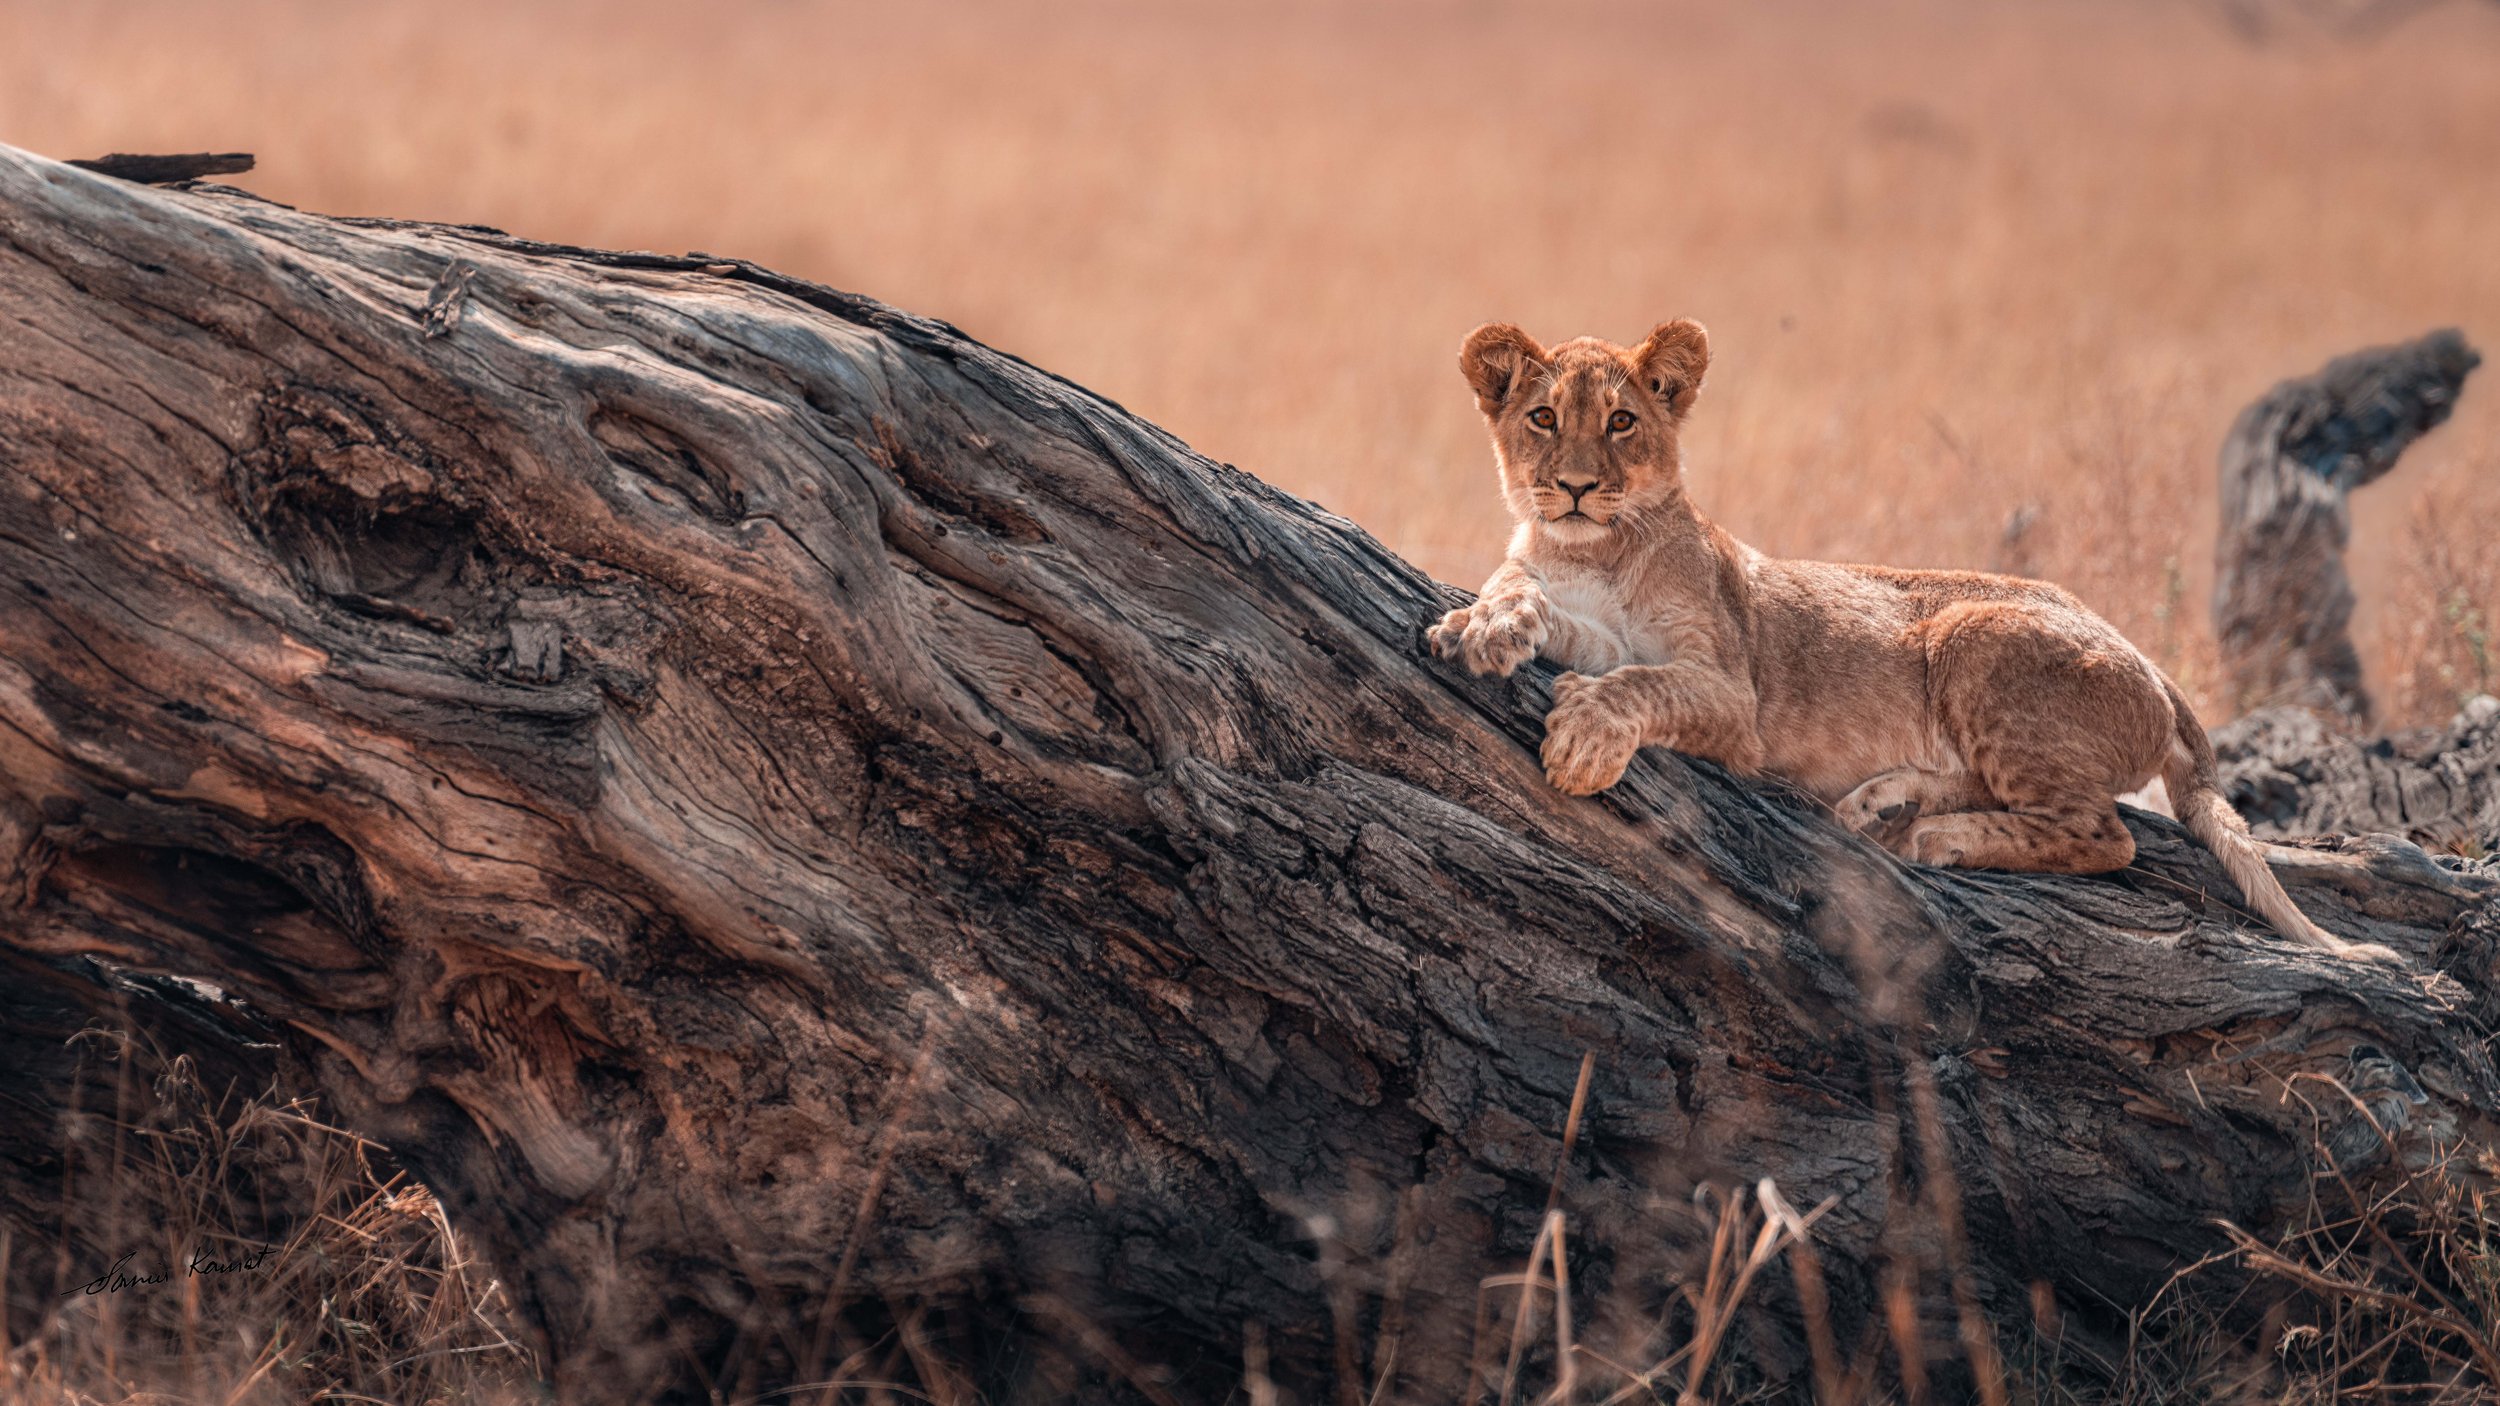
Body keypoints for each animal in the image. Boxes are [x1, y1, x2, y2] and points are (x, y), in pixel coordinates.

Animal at [1426, 318, 2396, 962]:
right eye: (1543, 418)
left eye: (1622, 422)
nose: (1577, 487)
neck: (1589, 549)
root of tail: (2157, 671)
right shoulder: (1558, 580)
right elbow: (1532, 599)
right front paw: (1482, 625)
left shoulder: (1734, 696)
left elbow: (1639, 681)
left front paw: (1583, 740)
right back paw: (1884, 807)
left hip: (1977, 631)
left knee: (2105, 834)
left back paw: (1934, 837)